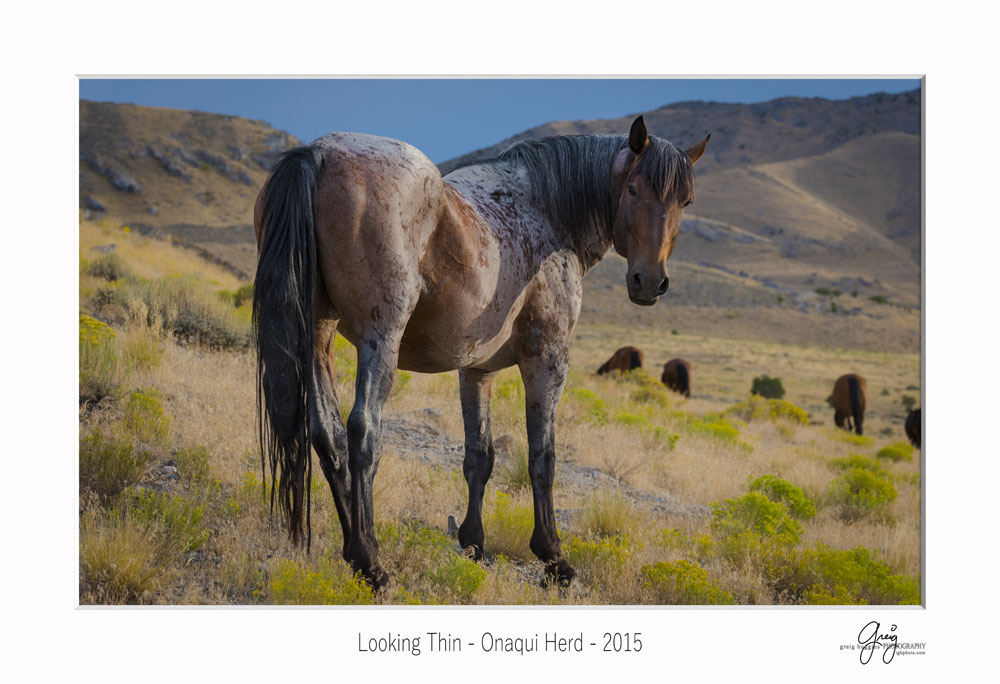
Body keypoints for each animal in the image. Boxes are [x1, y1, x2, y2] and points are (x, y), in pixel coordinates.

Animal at [256, 116, 712, 588]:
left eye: (685, 201)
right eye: (634, 189)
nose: (648, 281)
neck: (550, 211)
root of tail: (319, 153)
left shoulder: (476, 370)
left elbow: (480, 457)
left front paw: (474, 543)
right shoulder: (548, 359)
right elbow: (542, 456)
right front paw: (553, 556)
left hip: (318, 337)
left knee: (327, 436)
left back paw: (353, 551)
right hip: (379, 339)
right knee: (363, 431)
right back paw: (371, 562)